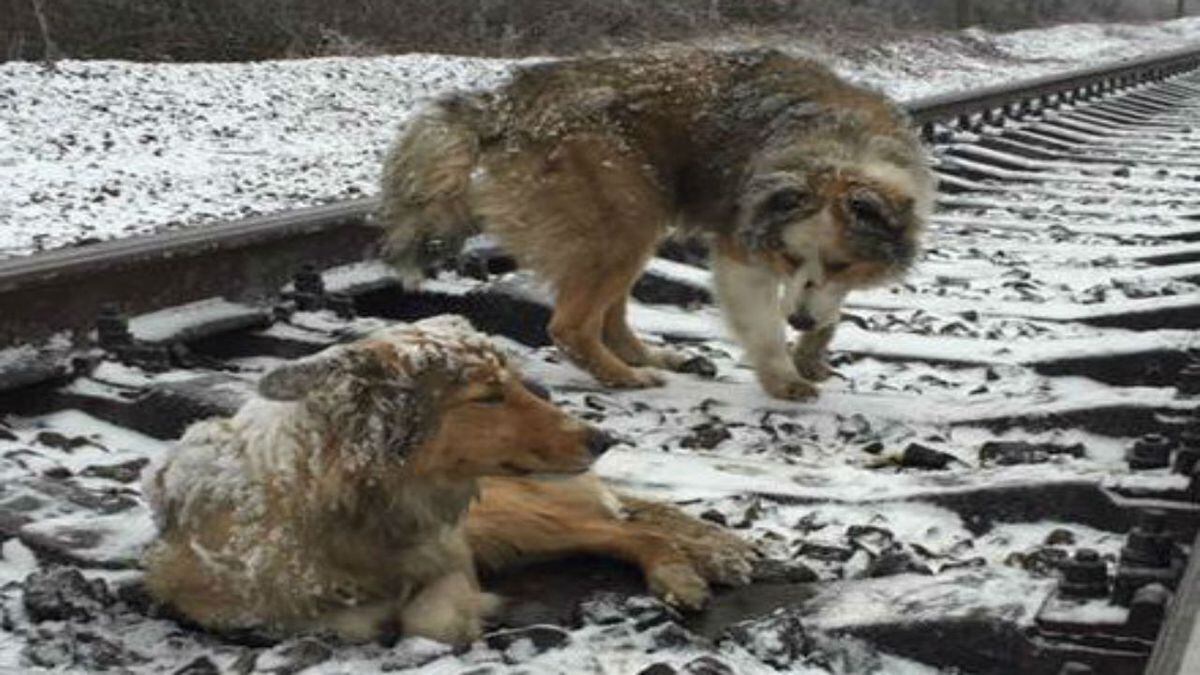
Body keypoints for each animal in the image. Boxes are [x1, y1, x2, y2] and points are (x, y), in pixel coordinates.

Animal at [145, 314, 753, 638]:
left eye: (516, 382)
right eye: (487, 396)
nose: (604, 440)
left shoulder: (452, 552)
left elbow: (428, 620)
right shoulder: (212, 601)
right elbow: (342, 619)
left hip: (510, 517)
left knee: (632, 529)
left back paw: (685, 572)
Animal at [379, 48, 931, 398]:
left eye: (842, 264)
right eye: (787, 256)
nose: (799, 321)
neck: (840, 149)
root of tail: (504, 103)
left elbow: (828, 308)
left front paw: (812, 350)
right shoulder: (740, 251)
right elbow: (763, 325)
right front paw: (783, 375)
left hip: (635, 219)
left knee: (610, 317)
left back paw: (653, 359)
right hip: (626, 218)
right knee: (571, 325)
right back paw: (625, 377)